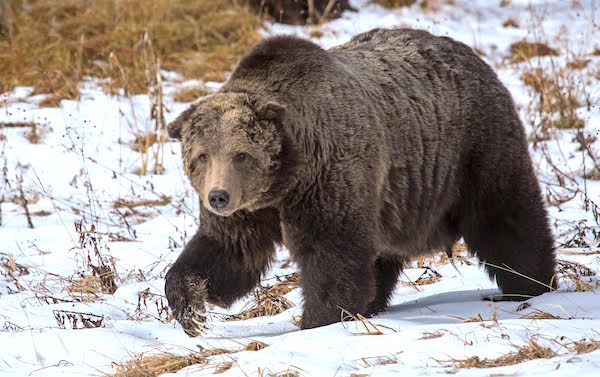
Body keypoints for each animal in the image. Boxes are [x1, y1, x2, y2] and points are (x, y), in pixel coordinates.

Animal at [165, 28, 556, 334]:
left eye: (241, 154)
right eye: (201, 156)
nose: (218, 197)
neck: (286, 178)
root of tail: (474, 57)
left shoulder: (327, 179)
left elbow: (333, 258)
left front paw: (318, 320)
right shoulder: (254, 209)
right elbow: (228, 252)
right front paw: (191, 309)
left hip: (472, 149)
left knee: (505, 218)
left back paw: (528, 285)